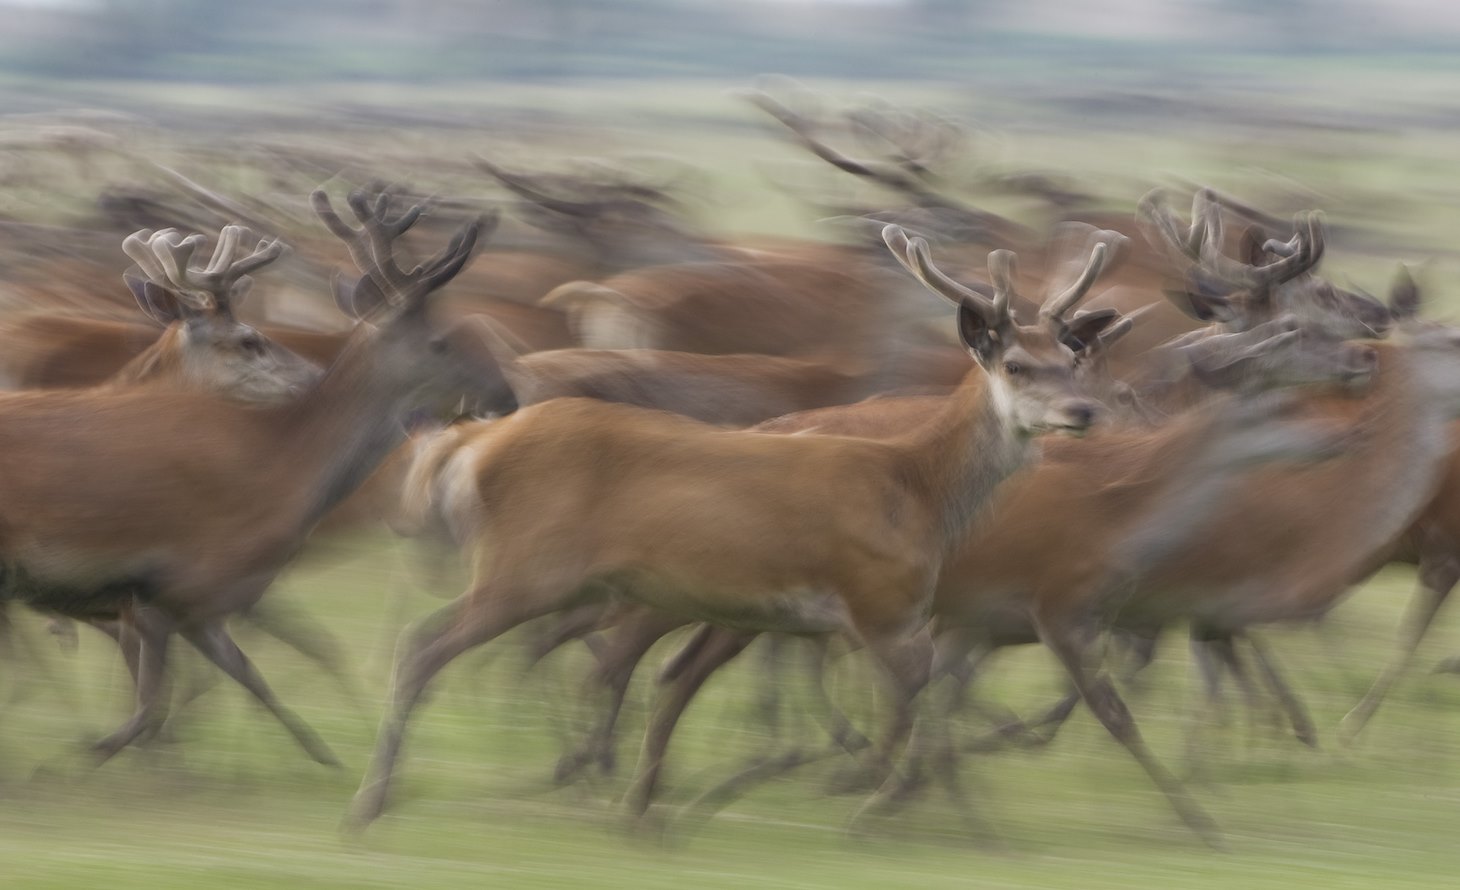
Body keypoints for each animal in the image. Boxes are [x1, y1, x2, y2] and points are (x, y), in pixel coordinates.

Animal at [0, 187, 518, 766]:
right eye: (443, 342)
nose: (507, 397)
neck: (285, 473)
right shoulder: (177, 585)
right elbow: (160, 700)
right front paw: (83, 759)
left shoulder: (204, 602)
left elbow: (242, 680)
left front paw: (326, 757)